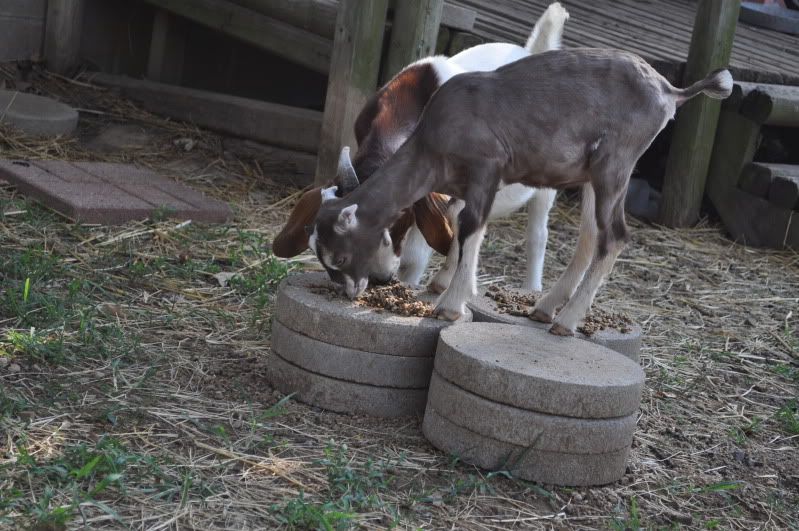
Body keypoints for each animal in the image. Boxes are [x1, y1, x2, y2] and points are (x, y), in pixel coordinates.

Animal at [273, 3, 569, 292]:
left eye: (398, 217)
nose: (380, 278)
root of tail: (533, 51)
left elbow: (418, 254)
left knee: (538, 234)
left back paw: (532, 288)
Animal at [308, 48, 733, 335]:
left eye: (340, 256)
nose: (353, 290)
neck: (431, 138)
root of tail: (669, 90)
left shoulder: (486, 167)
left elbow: (471, 226)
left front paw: (450, 307)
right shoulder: (462, 187)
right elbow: (460, 227)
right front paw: (448, 290)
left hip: (616, 163)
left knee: (614, 236)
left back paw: (566, 321)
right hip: (594, 175)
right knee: (590, 235)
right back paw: (544, 308)